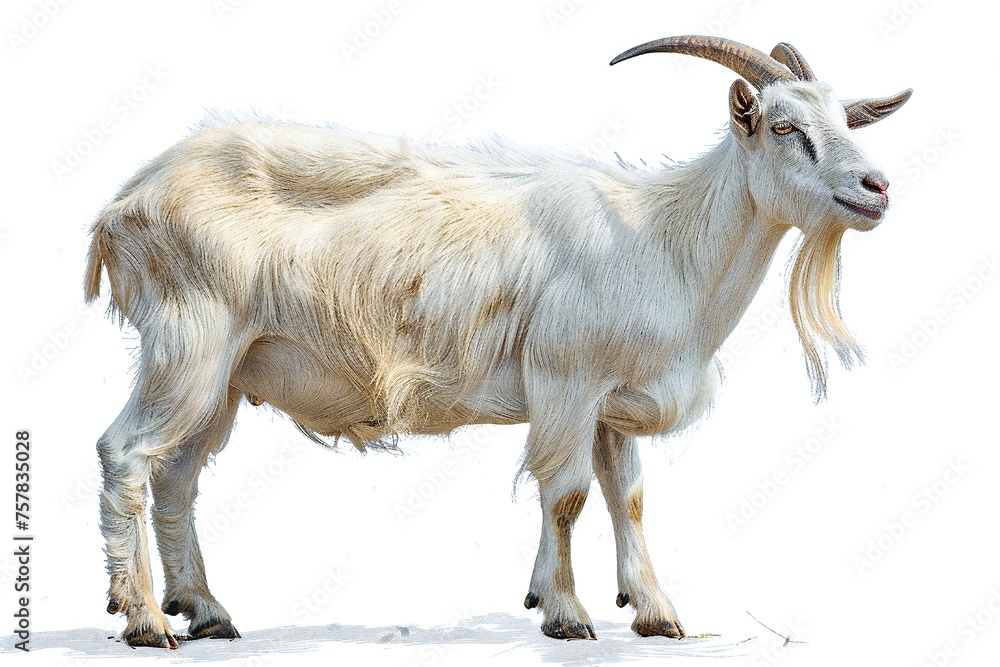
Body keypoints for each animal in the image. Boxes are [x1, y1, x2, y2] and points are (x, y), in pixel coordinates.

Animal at [85, 35, 910, 647]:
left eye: (846, 122)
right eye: (784, 128)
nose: (876, 189)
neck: (662, 238)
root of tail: (124, 202)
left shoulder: (610, 401)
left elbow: (629, 497)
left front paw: (654, 611)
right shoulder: (566, 381)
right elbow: (567, 493)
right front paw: (566, 612)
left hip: (226, 374)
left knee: (177, 477)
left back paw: (206, 610)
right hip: (187, 344)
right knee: (125, 453)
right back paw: (146, 619)